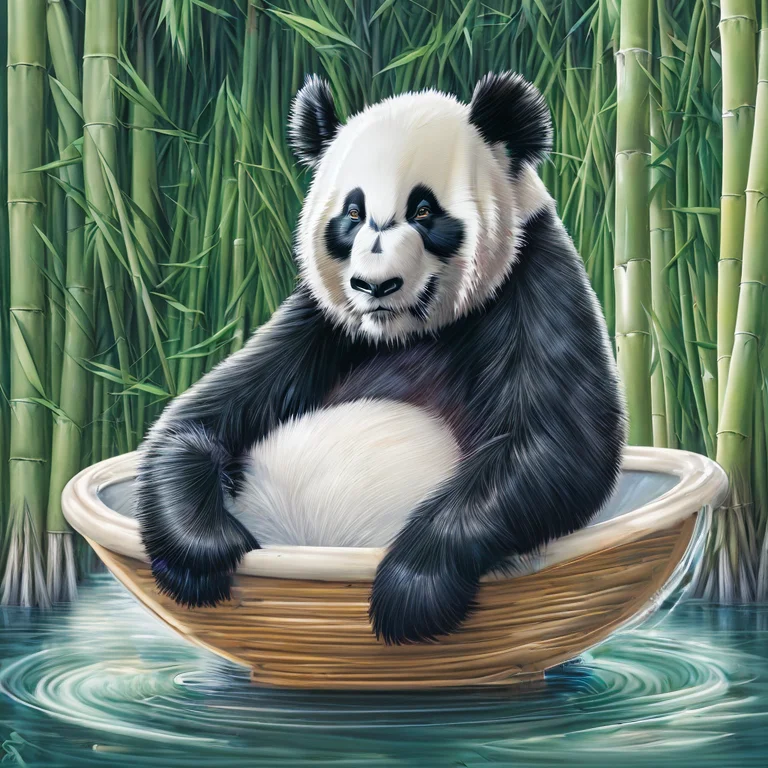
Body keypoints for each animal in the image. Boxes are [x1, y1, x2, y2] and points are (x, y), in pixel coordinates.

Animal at [135, 72, 627, 646]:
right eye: (353, 213)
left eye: (424, 211)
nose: (375, 285)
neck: (410, 332)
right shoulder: (325, 325)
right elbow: (203, 415)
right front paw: (199, 551)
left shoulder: (535, 286)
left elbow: (558, 444)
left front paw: (412, 592)